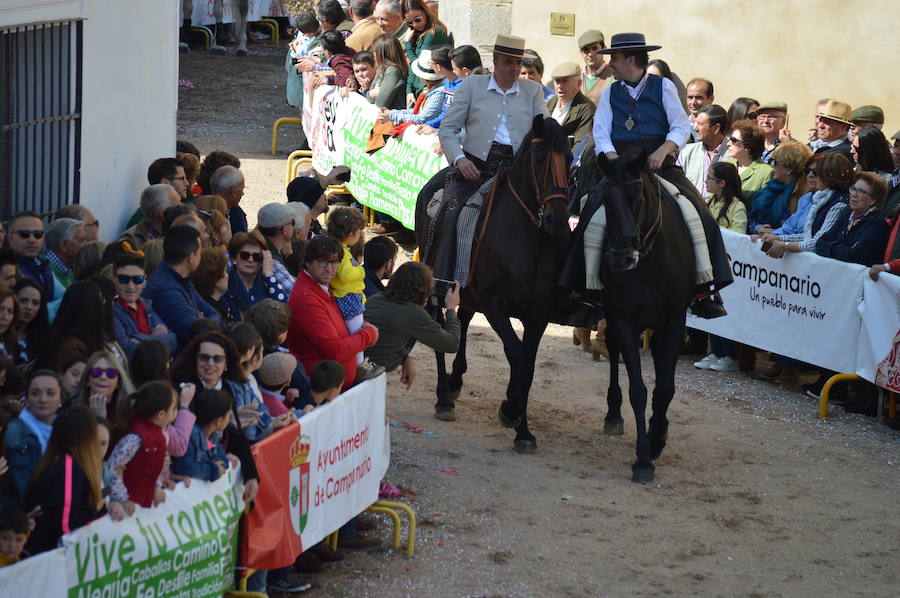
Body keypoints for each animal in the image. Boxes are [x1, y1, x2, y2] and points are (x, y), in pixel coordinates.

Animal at [414, 116, 568, 454]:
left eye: (569, 157)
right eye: (540, 159)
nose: (559, 219)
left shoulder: (539, 314)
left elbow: (529, 365)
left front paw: (521, 426)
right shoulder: (495, 305)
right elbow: (516, 353)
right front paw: (513, 413)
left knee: (462, 320)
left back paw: (456, 381)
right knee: (439, 329)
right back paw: (444, 397)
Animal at [596, 152, 696, 486]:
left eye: (637, 196)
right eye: (604, 198)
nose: (620, 258)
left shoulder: (675, 322)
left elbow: (665, 388)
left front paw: (656, 439)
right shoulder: (624, 320)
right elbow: (638, 390)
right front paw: (642, 459)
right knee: (612, 350)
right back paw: (613, 415)